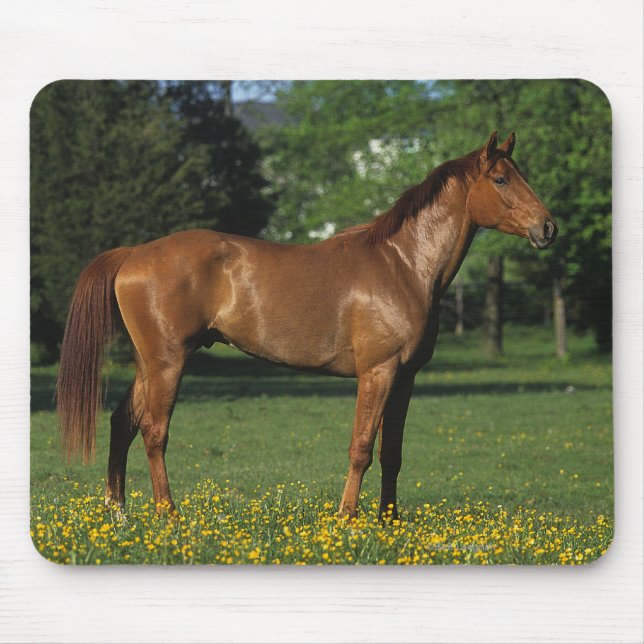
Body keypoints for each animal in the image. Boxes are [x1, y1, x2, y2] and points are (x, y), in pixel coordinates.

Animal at [56, 131, 557, 519]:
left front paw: (389, 523)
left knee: (122, 423)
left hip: (149, 364)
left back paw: (120, 514)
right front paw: (346, 519)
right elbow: (361, 449)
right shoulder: (377, 373)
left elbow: (391, 455)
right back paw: (169, 516)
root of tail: (133, 254)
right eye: (501, 178)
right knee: (154, 433)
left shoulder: (405, 378)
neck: (402, 265)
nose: (548, 228)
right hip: (167, 363)